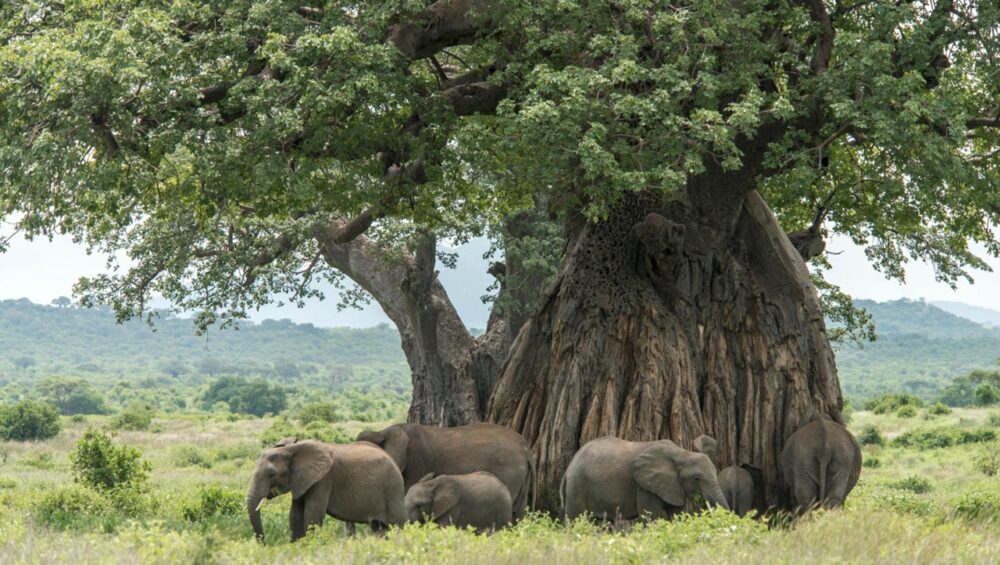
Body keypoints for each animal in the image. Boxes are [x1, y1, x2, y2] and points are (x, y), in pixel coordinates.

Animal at [246, 438, 405, 541]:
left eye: (271, 474)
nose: (263, 542)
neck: (291, 449)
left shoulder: (323, 480)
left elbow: (313, 513)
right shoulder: (301, 480)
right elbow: (295, 514)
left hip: (393, 488)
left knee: (397, 525)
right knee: (378, 528)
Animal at [561, 436, 729, 521]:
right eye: (696, 478)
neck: (682, 453)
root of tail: (568, 469)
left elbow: (677, 515)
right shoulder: (644, 486)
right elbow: (650, 517)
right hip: (577, 486)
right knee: (576, 520)